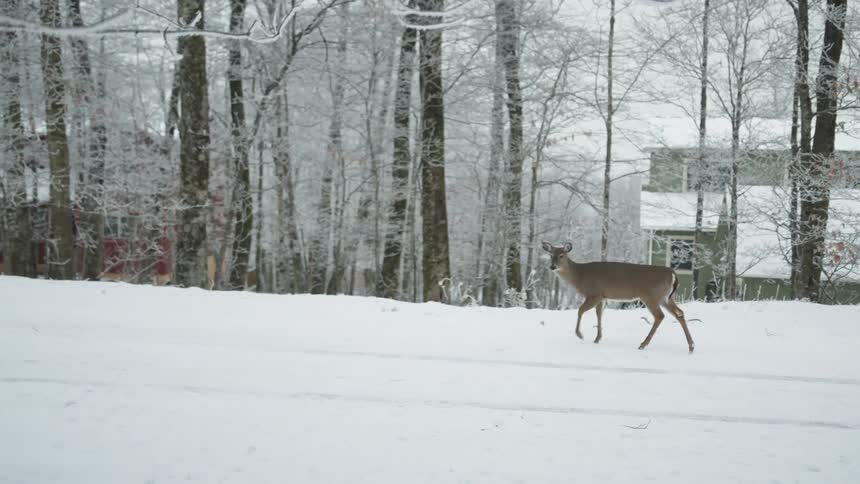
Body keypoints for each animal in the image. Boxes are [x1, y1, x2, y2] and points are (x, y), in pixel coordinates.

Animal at [542, 241, 695, 353]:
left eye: (562, 255)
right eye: (550, 255)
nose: (552, 266)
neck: (580, 276)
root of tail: (672, 274)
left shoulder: (594, 293)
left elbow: (580, 311)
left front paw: (580, 334)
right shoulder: (602, 296)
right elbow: (599, 315)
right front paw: (597, 338)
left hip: (651, 296)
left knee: (660, 316)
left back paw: (643, 344)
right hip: (666, 298)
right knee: (679, 313)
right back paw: (691, 346)